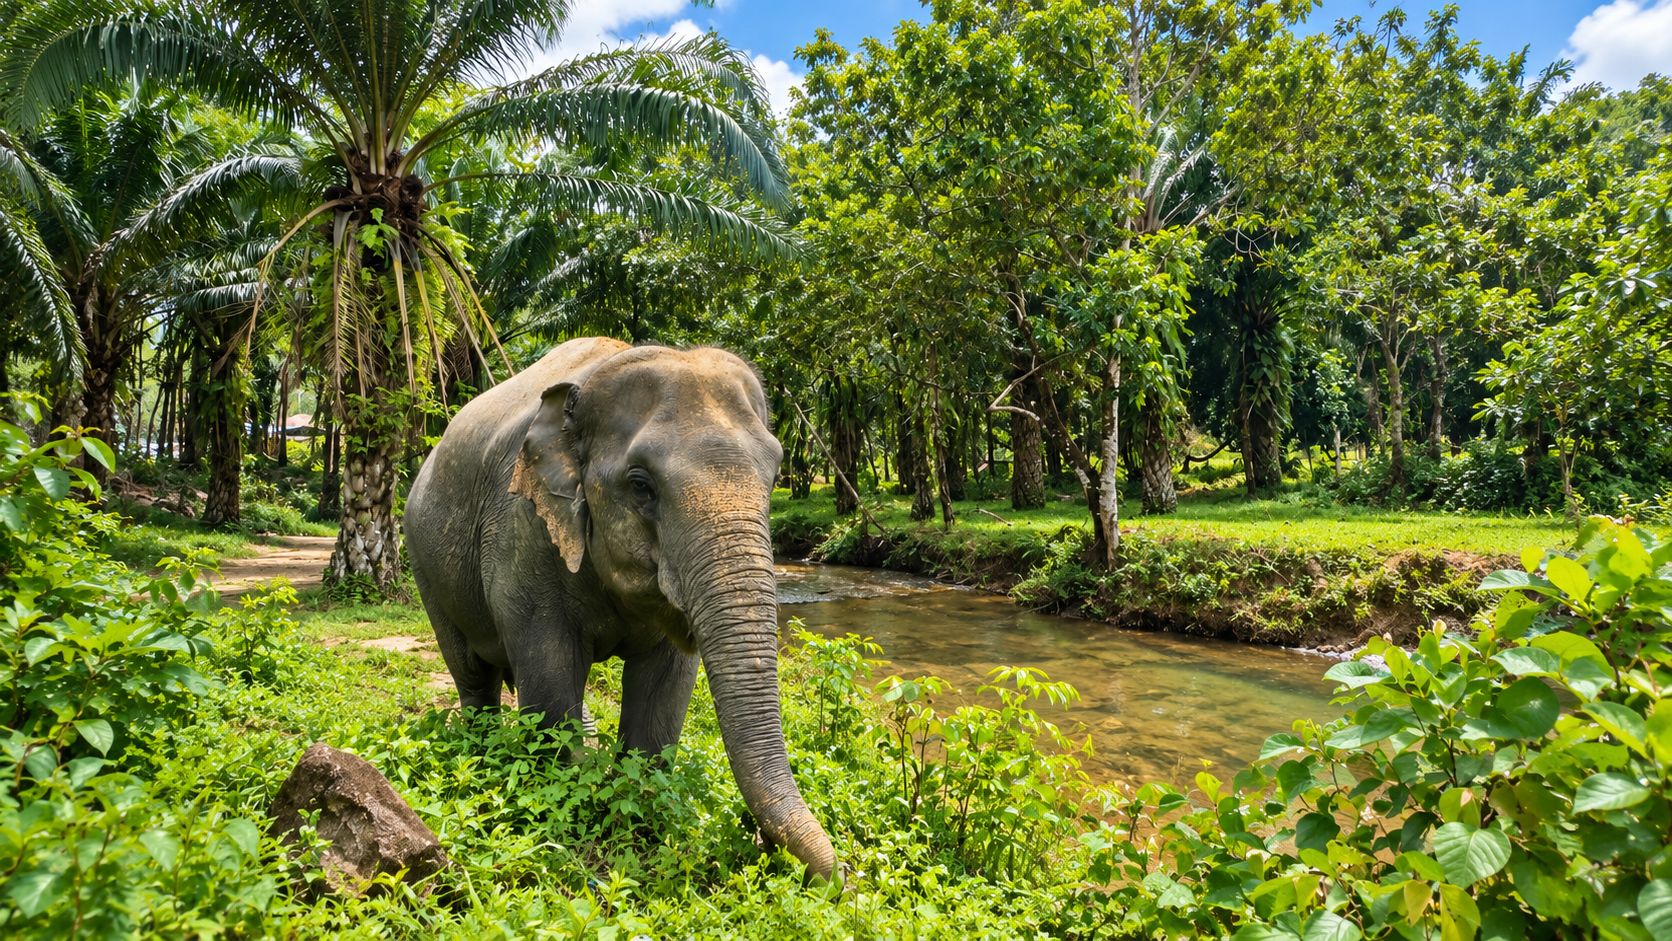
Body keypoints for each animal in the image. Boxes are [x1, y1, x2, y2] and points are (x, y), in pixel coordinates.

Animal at [403, 337, 835, 878]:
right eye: (640, 484)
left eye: (775, 476)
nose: (840, 878)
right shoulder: (523, 532)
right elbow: (549, 679)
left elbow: (664, 691)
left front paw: (639, 828)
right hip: (426, 566)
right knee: (472, 675)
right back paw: (481, 759)